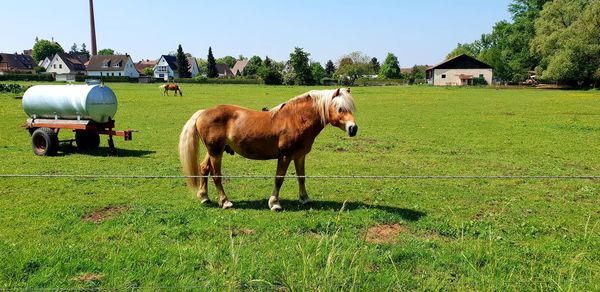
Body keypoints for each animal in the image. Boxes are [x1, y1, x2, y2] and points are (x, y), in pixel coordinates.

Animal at [177, 88, 356, 211]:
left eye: (352, 108)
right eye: (340, 109)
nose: (353, 128)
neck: (295, 119)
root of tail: (203, 113)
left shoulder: (299, 156)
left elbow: (301, 177)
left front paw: (304, 198)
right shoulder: (285, 156)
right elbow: (279, 179)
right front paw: (275, 203)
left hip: (214, 151)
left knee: (204, 168)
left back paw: (204, 197)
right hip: (216, 152)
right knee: (216, 175)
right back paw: (225, 201)